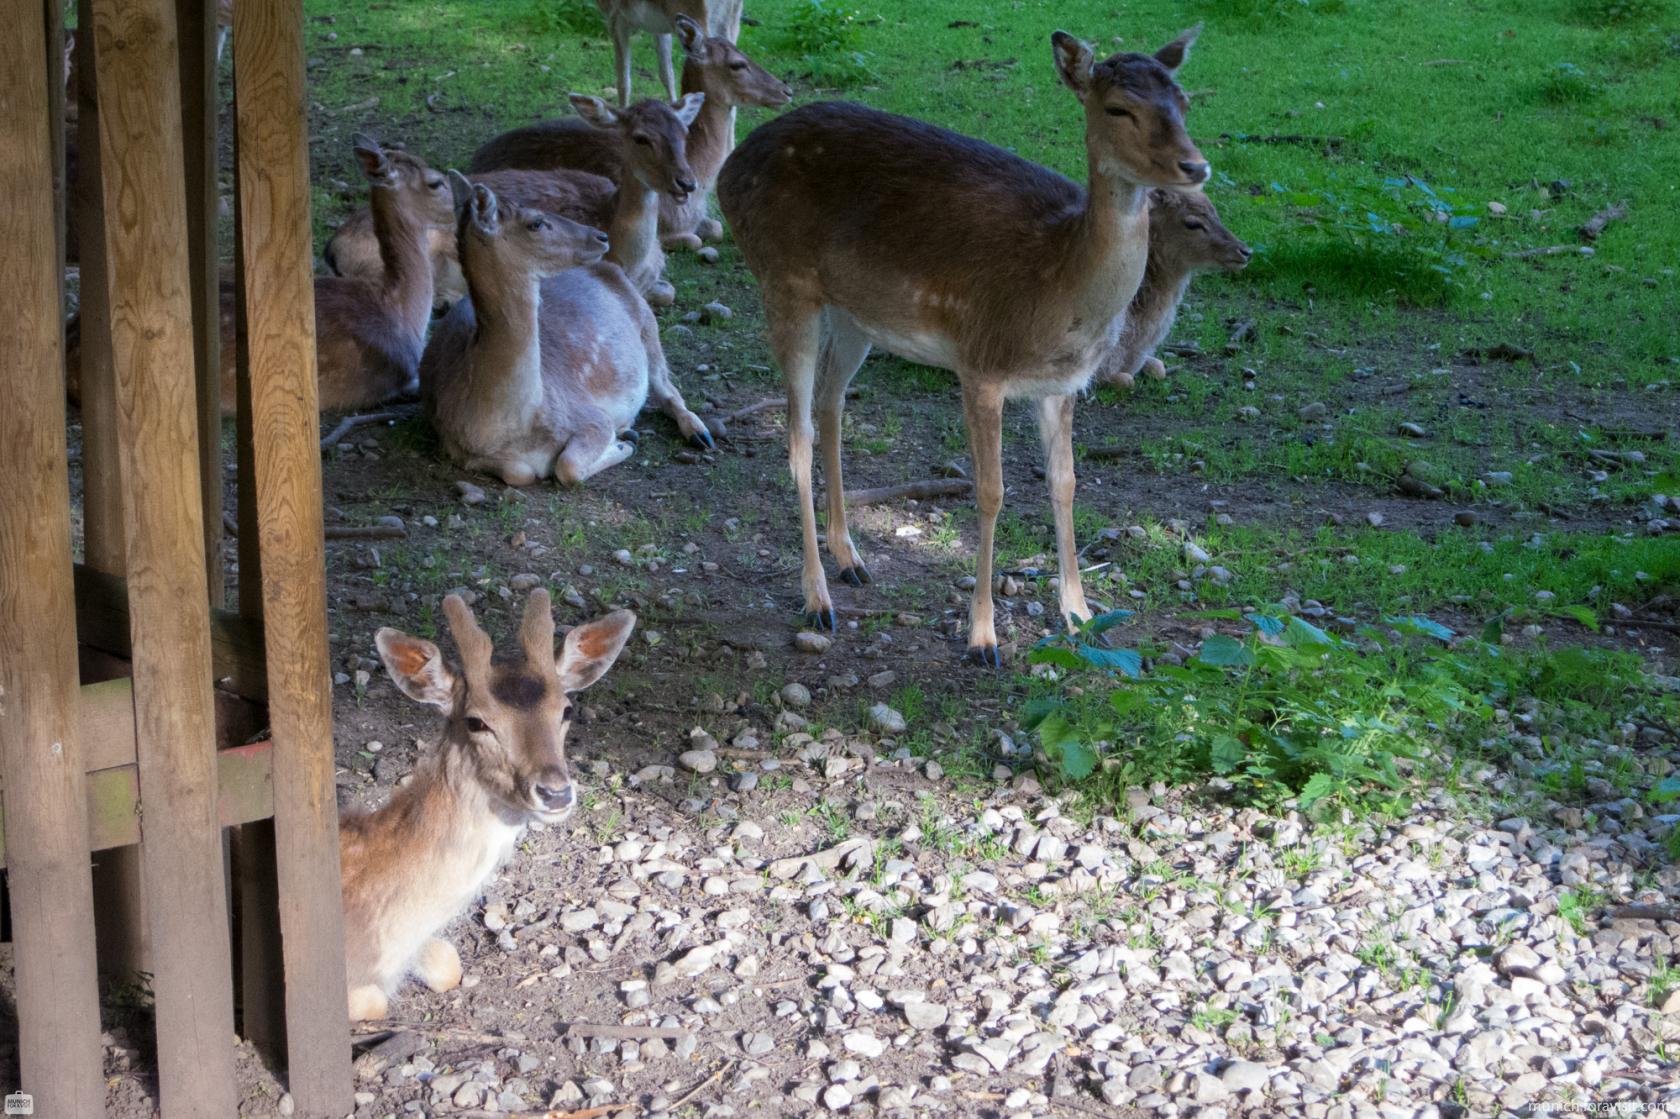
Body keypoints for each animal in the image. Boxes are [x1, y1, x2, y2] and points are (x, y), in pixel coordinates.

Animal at [719, 23, 1209, 661]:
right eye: (1118, 107)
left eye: (1185, 101)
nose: (1194, 165)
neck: (1057, 289)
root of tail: (726, 170)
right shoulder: (980, 365)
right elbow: (991, 491)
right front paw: (982, 637)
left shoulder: (1063, 383)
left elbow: (1066, 482)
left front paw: (1080, 614)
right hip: (784, 283)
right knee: (796, 430)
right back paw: (818, 599)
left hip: (855, 317)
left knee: (831, 405)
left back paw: (851, 557)